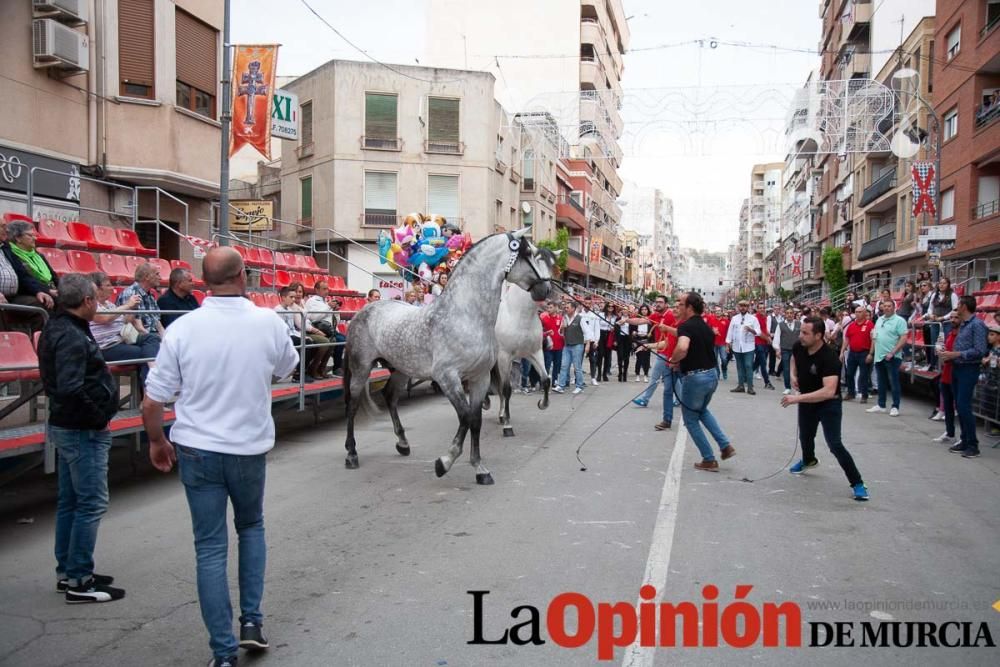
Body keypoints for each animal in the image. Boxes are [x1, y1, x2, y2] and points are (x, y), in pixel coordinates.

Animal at [344, 230, 556, 486]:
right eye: (529, 253)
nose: (545, 291)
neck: (465, 316)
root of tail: (364, 311)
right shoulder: (447, 377)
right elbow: (464, 417)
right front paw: (444, 463)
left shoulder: (480, 377)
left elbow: (475, 420)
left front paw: (480, 469)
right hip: (361, 368)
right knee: (353, 405)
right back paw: (351, 454)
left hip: (401, 369)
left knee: (389, 397)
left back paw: (403, 444)